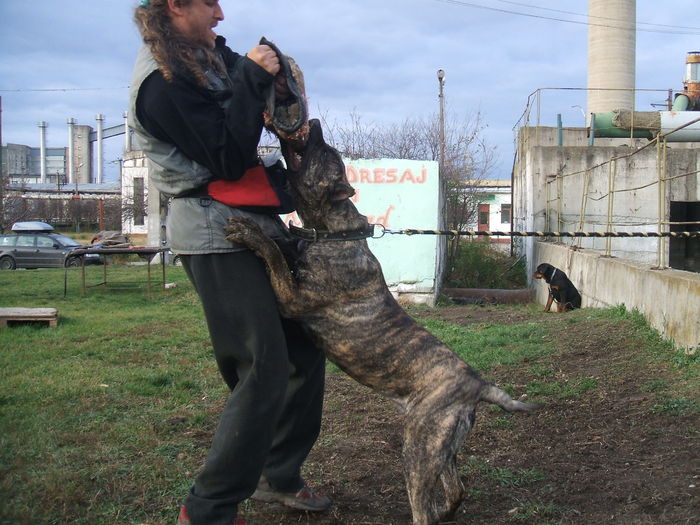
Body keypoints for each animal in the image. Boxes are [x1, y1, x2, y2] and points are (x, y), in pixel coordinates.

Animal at [224, 118, 536, 524]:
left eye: (324, 153)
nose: (313, 124)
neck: (334, 232)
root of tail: (477, 385)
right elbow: (284, 248)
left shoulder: (292, 299)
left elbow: (274, 255)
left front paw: (252, 233)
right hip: (443, 446)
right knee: (456, 489)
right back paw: (445, 511)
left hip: (419, 446)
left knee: (424, 505)